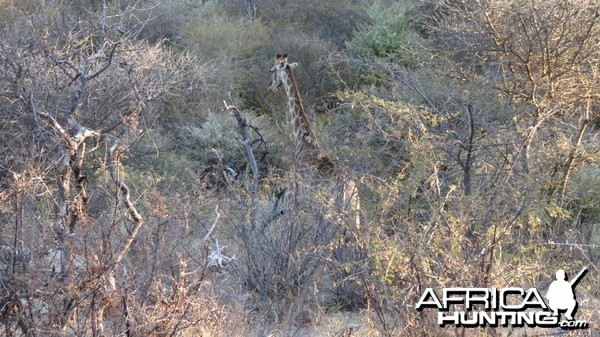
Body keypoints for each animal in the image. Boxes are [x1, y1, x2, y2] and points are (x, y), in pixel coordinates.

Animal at [268, 53, 360, 226]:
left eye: (272, 70)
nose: (270, 86)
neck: (303, 140)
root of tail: (344, 187)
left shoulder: (291, 204)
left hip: (327, 213)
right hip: (354, 213)